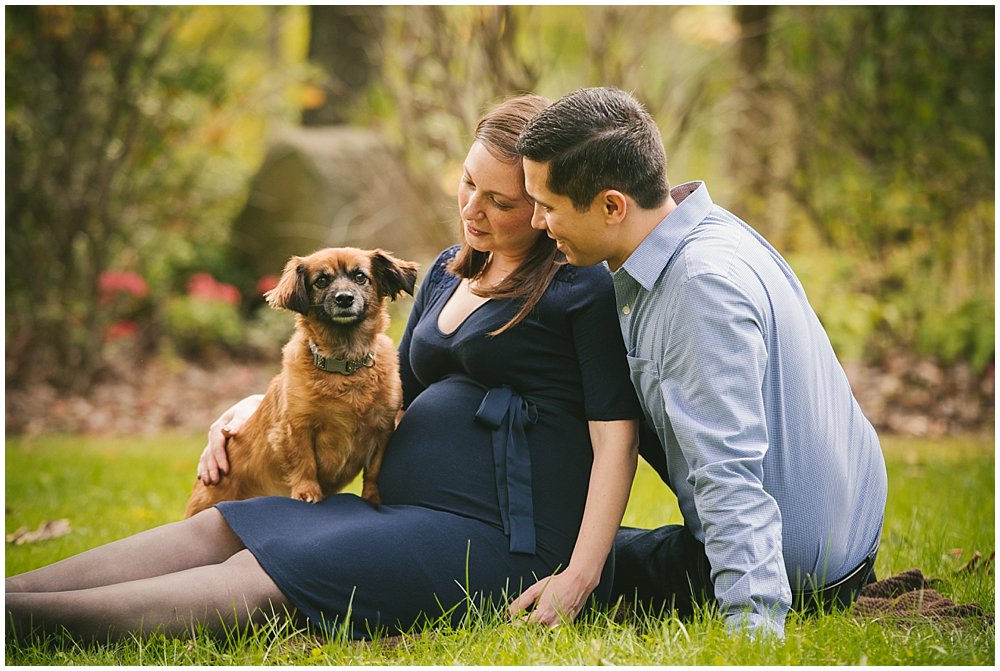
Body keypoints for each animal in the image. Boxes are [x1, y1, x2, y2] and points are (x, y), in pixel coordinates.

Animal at [186, 249, 420, 516]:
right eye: (321, 281)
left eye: (360, 277)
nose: (344, 299)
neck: (344, 364)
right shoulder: (296, 427)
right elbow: (304, 461)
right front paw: (307, 493)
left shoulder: (382, 428)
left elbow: (374, 470)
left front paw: (372, 499)